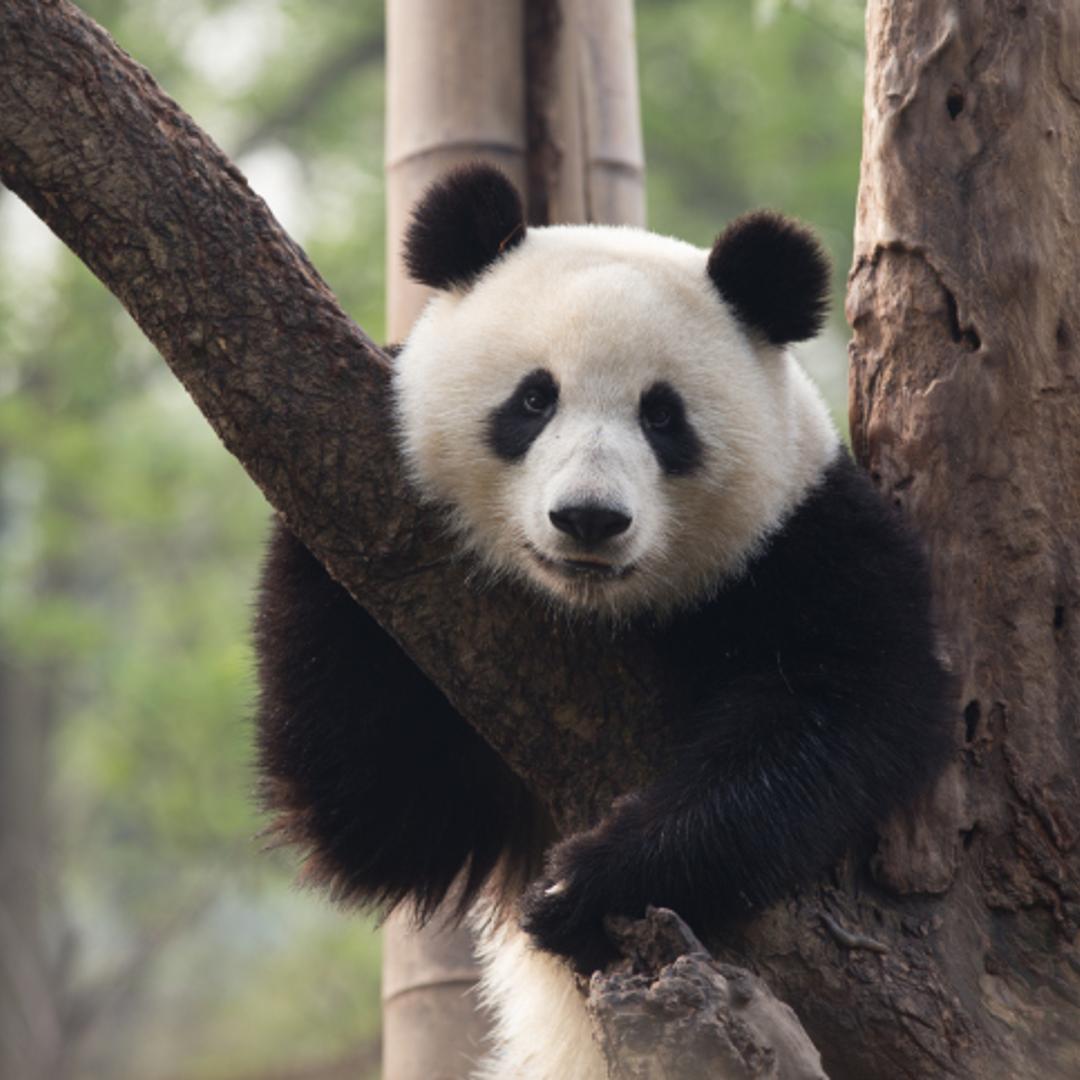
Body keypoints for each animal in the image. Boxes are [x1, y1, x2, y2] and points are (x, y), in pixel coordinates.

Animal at [255, 163, 952, 1079]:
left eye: (662, 416)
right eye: (533, 398)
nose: (589, 518)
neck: (606, 614)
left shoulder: (806, 543)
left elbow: (842, 711)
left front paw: (592, 881)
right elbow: (379, 809)